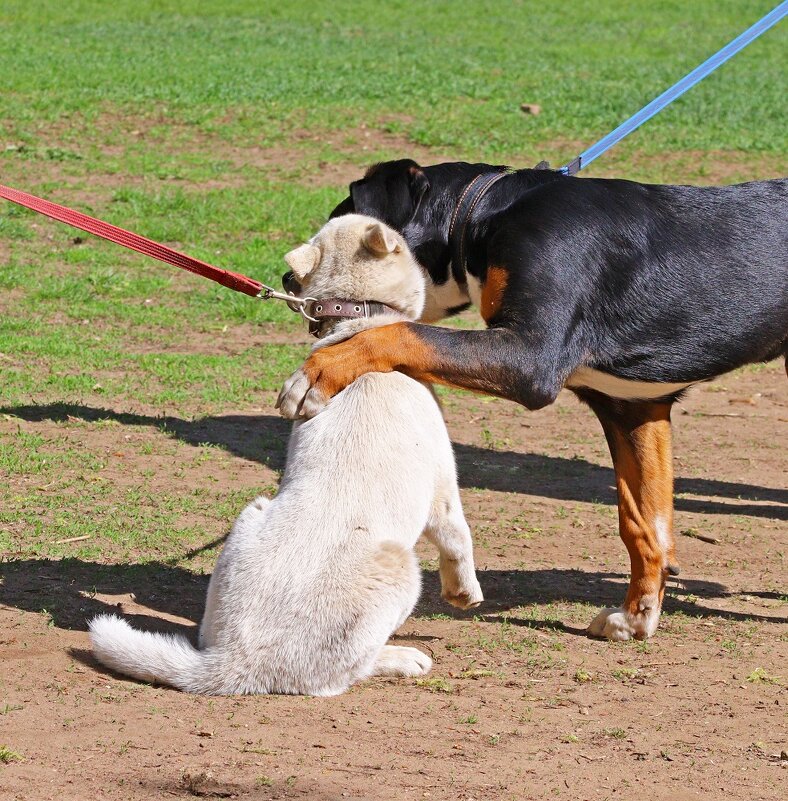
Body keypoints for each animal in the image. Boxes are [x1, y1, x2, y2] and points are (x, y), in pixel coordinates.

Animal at [92, 212, 486, 692]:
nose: (283, 278)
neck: (361, 323)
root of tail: (234, 662)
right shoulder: (442, 486)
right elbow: (457, 537)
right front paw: (465, 592)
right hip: (400, 570)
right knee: (340, 676)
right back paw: (399, 658)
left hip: (251, 516)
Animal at [278, 159, 788, 640]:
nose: (287, 279)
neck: (482, 215)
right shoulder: (632, 407)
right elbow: (643, 523)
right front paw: (637, 616)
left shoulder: (530, 356)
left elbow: (403, 333)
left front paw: (320, 370)